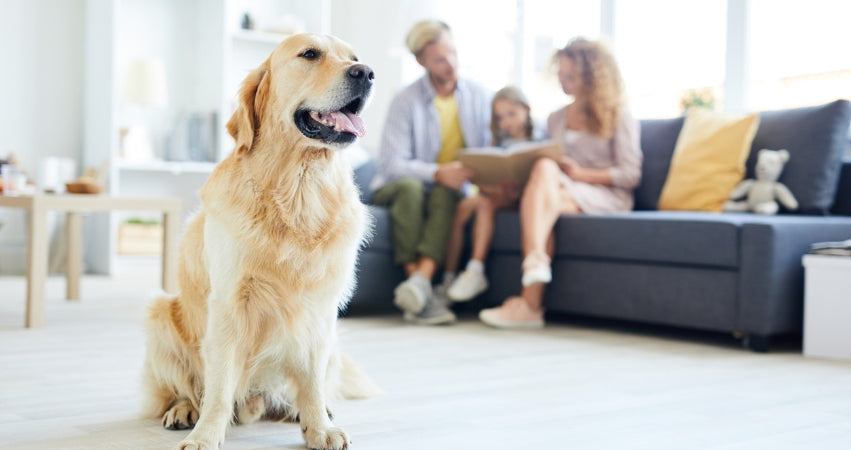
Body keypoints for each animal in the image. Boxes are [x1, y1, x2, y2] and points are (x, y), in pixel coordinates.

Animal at [142, 34, 380, 450]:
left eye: (354, 57)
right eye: (310, 54)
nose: (366, 73)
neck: (300, 187)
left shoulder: (319, 310)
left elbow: (312, 382)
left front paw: (319, 428)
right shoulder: (228, 305)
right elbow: (219, 387)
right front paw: (207, 434)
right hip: (160, 316)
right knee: (185, 388)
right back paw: (184, 410)